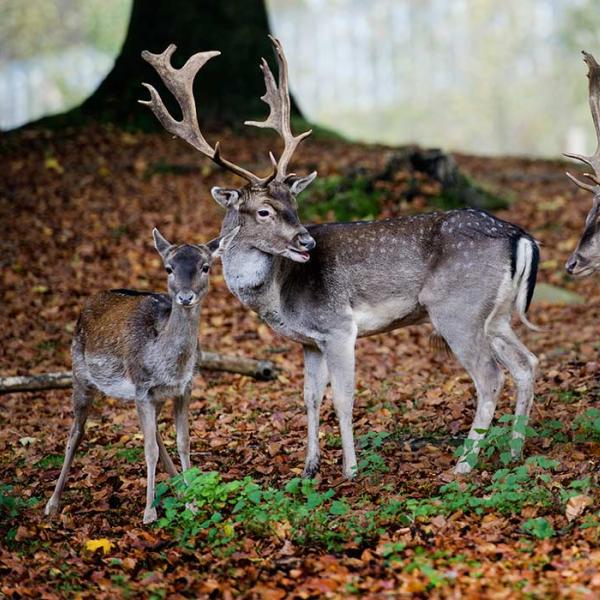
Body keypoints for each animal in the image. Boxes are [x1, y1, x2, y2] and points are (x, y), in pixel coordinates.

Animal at [45, 227, 237, 524]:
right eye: (169, 268)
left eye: (205, 266)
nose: (185, 297)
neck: (167, 365)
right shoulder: (142, 388)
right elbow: (149, 450)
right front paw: (149, 512)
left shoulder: (184, 388)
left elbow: (182, 441)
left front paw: (192, 502)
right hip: (80, 374)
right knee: (75, 433)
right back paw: (52, 503)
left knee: (154, 431)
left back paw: (178, 488)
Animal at [139, 36, 540, 478]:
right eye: (264, 210)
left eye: (294, 203)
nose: (306, 242)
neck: (279, 294)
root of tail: (520, 237)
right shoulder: (310, 342)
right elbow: (310, 397)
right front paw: (309, 467)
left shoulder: (338, 327)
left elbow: (344, 397)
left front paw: (350, 469)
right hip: (496, 314)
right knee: (527, 363)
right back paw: (514, 452)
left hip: (458, 308)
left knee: (490, 376)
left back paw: (464, 464)